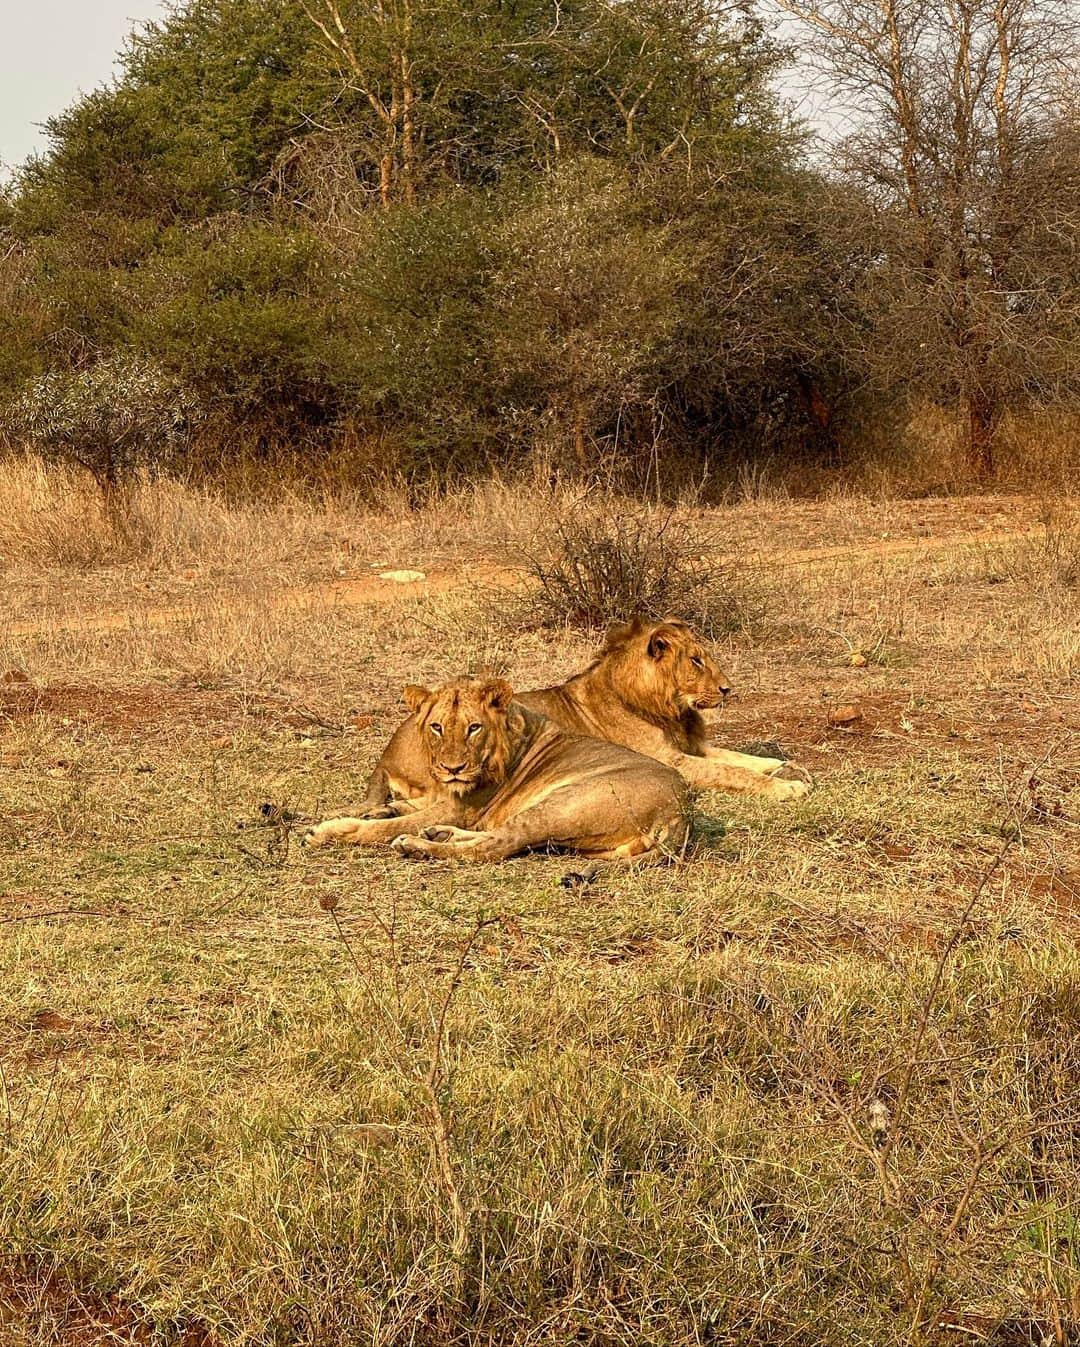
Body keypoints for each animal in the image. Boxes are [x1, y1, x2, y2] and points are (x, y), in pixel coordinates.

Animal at [298, 673, 686, 862]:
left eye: (474, 727)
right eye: (437, 727)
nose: (453, 768)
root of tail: (679, 814)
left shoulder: (458, 808)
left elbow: (383, 827)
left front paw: (329, 830)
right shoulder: (443, 798)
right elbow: (403, 806)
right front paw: (383, 809)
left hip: (562, 804)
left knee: (494, 847)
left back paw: (418, 845)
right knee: (495, 836)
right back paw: (436, 834)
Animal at [352, 614, 807, 818]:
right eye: (696, 661)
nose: (729, 688)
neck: (672, 710)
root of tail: (386, 752)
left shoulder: (693, 746)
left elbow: (744, 759)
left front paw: (789, 768)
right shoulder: (674, 760)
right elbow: (733, 772)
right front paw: (786, 788)